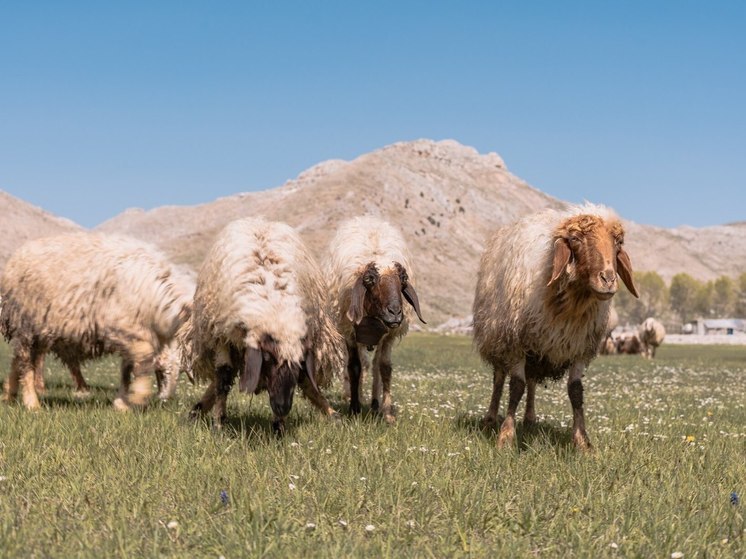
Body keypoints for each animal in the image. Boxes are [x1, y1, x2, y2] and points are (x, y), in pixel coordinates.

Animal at [0, 232, 192, 412]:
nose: (166, 398)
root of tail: (15, 258)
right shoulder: (120, 327)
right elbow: (143, 357)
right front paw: (138, 395)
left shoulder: (129, 336)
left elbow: (126, 370)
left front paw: (121, 404)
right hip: (25, 323)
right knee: (25, 362)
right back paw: (31, 403)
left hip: (40, 332)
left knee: (18, 360)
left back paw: (9, 395)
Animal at [187, 217, 342, 436]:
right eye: (267, 358)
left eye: (299, 363)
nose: (282, 407)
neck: (274, 310)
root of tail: (260, 220)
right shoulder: (222, 337)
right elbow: (223, 378)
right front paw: (219, 424)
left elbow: (304, 381)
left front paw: (279, 427)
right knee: (222, 378)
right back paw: (197, 412)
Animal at [326, 215, 424, 424]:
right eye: (370, 281)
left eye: (402, 281)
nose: (395, 312)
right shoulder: (350, 333)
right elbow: (354, 367)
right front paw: (354, 408)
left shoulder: (389, 335)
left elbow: (385, 368)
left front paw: (387, 412)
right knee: (361, 364)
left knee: (375, 366)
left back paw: (374, 403)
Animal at [470, 205, 640, 450]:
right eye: (576, 239)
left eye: (618, 242)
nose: (608, 279)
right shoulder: (516, 344)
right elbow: (516, 388)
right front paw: (506, 437)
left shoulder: (579, 347)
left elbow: (576, 392)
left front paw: (582, 441)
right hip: (498, 338)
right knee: (499, 380)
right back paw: (491, 418)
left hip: (536, 351)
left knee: (531, 381)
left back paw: (530, 418)